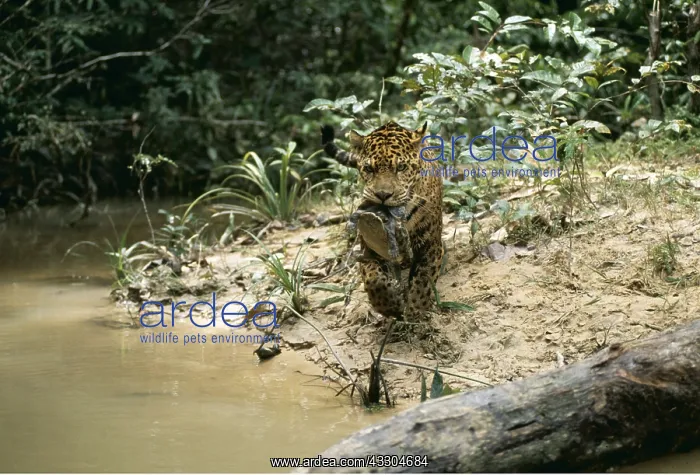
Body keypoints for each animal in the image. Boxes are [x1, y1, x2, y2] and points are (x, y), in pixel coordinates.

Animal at [321, 121, 444, 318]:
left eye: (401, 168)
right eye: (369, 169)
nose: (383, 195)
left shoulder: (430, 244)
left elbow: (423, 281)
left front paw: (415, 312)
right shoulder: (369, 248)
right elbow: (374, 279)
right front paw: (391, 307)